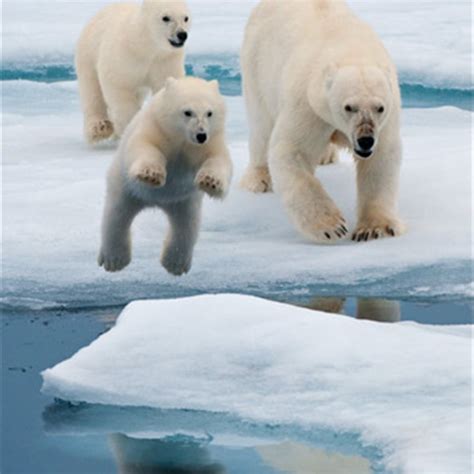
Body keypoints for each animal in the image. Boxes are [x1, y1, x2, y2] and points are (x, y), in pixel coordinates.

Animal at [77, 0, 190, 144]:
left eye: (186, 18)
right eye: (166, 18)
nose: (182, 34)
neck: (146, 46)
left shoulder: (164, 60)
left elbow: (166, 85)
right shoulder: (124, 57)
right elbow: (119, 85)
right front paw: (130, 127)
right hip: (88, 55)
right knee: (92, 92)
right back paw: (100, 128)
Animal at [99, 76, 232, 276]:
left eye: (209, 113)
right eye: (187, 112)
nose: (201, 135)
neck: (181, 140)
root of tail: (157, 202)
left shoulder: (209, 143)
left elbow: (219, 160)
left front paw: (211, 182)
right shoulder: (156, 128)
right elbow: (144, 146)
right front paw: (151, 175)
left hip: (183, 201)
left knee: (186, 226)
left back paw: (175, 264)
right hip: (125, 187)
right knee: (116, 216)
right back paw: (114, 260)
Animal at [241, 0, 404, 243]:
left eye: (379, 108)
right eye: (349, 107)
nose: (365, 140)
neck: (352, 50)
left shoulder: (387, 118)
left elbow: (381, 159)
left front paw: (374, 228)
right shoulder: (309, 104)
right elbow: (292, 150)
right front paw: (332, 226)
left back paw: (326, 155)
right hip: (257, 64)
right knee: (261, 126)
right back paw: (259, 179)